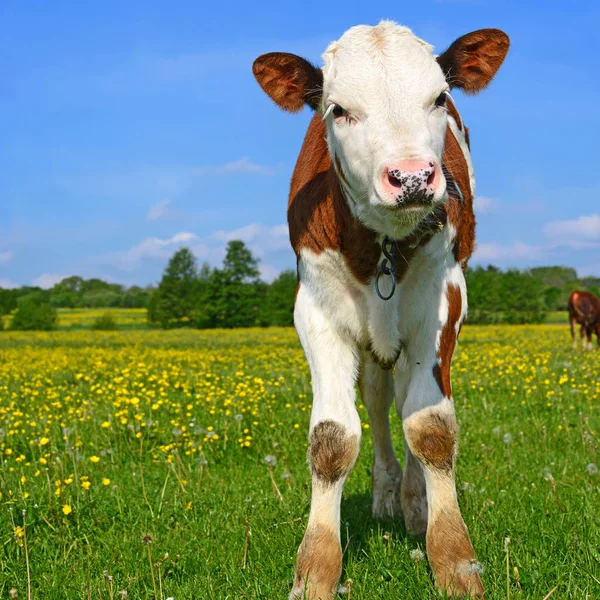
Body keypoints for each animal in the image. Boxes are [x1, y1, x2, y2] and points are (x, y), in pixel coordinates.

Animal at [251, 21, 508, 596]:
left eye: (439, 98)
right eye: (338, 109)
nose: (411, 177)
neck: (382, 247)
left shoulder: (444, 299)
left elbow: (430, 427)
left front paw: (454, 559)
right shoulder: (316, 310)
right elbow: (332, 439)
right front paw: (316, 568)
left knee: (408, 403)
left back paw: (414, 504)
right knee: (377, 400)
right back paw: (388, 494)